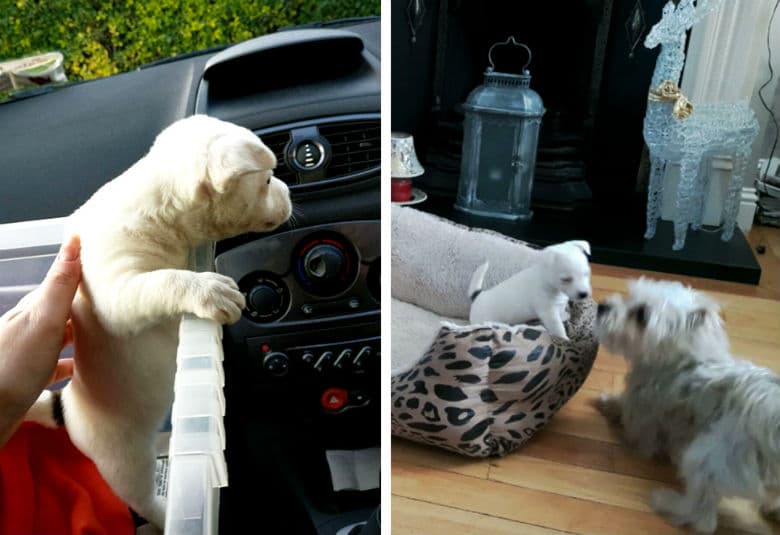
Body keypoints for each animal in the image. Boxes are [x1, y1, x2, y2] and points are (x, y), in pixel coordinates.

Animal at [26, 115, 292, 528]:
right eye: (266, 181)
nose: (290, 193)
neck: (158, 205)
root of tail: (66, 409)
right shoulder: (118, 290)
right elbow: (166, 279)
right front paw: (210, 289)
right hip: (125, 460)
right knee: (141, 497)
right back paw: (165, 513)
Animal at [596, 278, 780, 532]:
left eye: (641, 315)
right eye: (629, 296)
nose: (601, 307)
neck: (680, 356)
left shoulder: (645, 412)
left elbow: (636, 427)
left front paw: (614, 414)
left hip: (708, 460)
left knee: (702, 518)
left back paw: (666, 501)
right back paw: (773, 509)